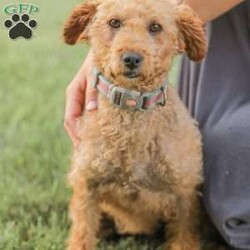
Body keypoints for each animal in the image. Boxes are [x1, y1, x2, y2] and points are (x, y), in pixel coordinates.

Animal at [63, 0, 206, 249]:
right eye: (114, 22)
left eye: (156, 27)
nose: (131, 58)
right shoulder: (86, 184)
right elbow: (82, 234)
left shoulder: (184, 192)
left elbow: (184, 237)